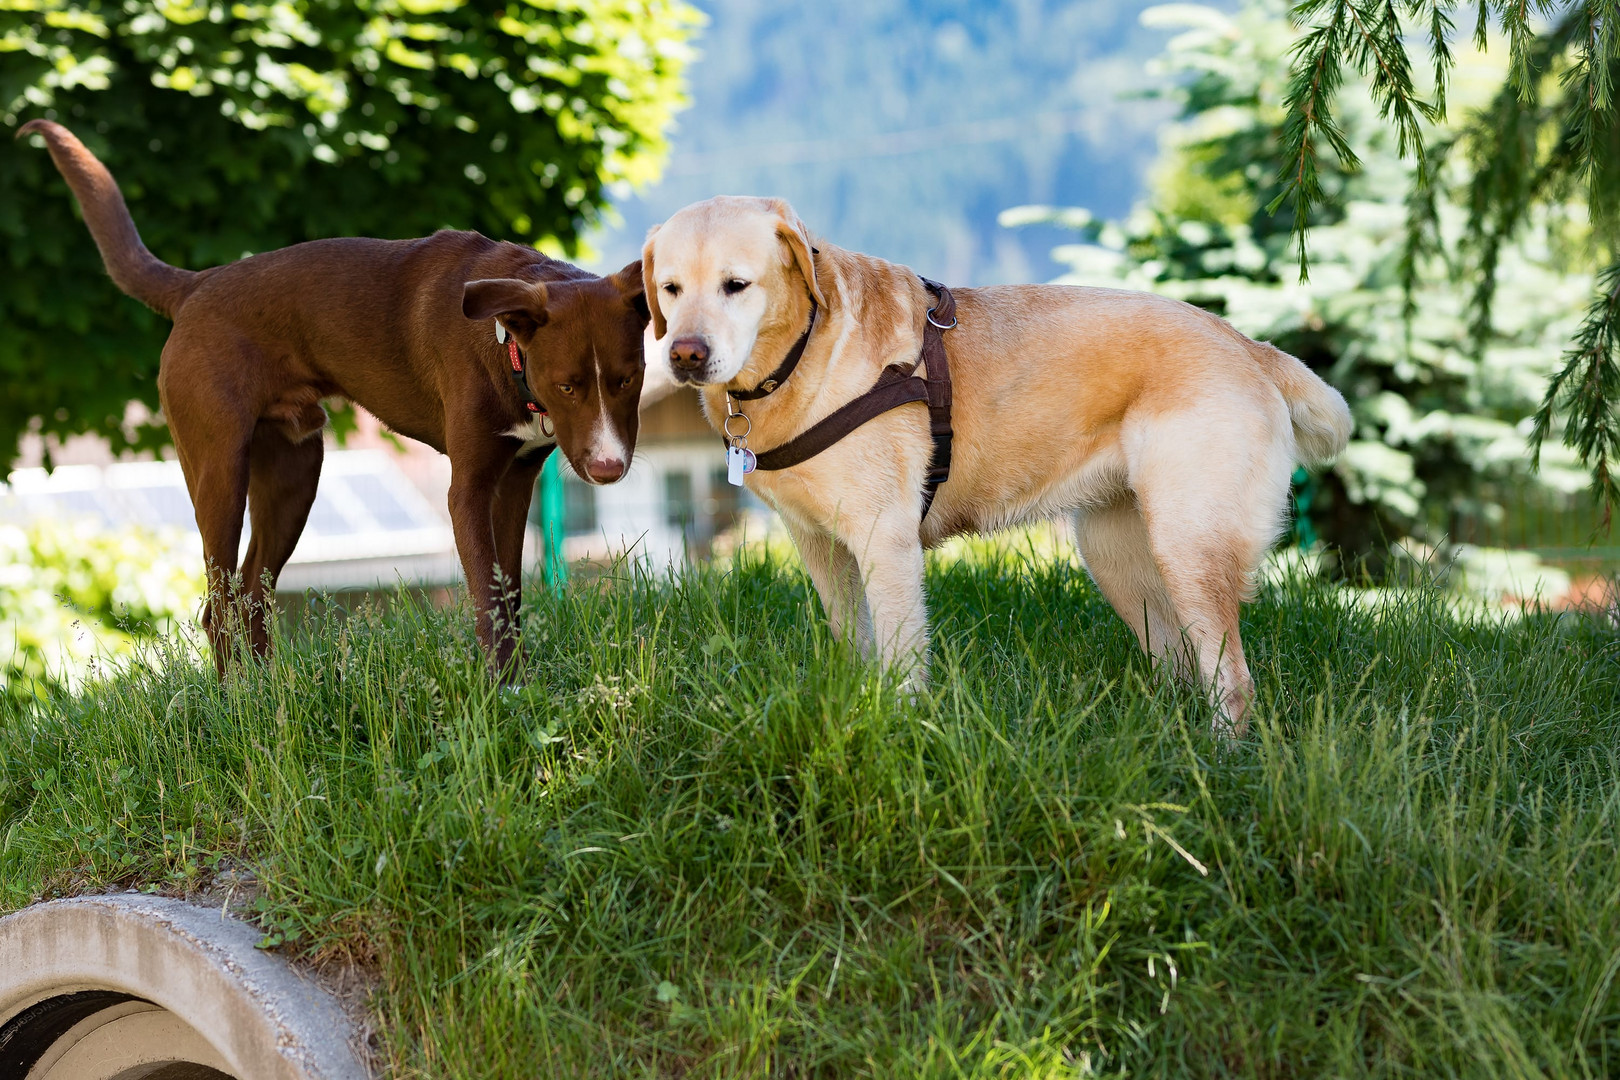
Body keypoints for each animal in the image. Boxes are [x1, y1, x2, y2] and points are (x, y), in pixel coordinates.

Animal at [20, 120, 644, 676]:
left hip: (295, 474)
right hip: (219, 470)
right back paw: (233, 703)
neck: (504, 343)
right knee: (218, 604)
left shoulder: (516, 481)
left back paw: (267, 694)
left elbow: (509, 591)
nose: (609, 469)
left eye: (627, 380)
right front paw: (503, 691)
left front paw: (516, 678)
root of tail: (196, 285)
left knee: (253, 594)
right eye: (566, 386)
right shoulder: (468, 488)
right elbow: (487, 599)